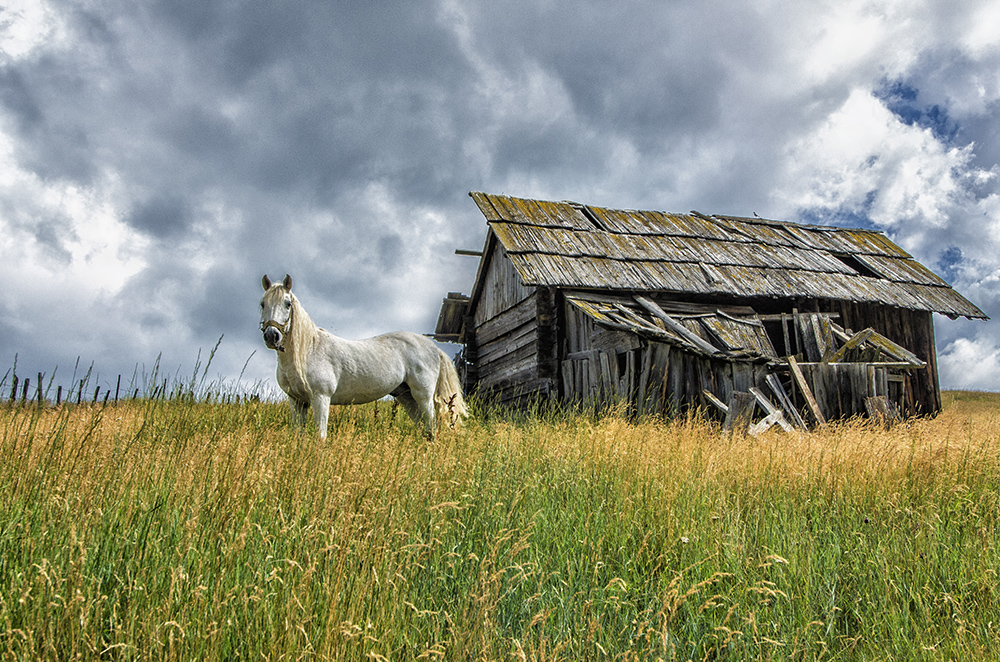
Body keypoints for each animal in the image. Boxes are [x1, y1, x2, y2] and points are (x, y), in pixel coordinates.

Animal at [264, 274, 470, 440]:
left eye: (287, 304)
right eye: (262, 304)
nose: (271, 336)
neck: (307, 351)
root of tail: (434, 348)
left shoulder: (321, 398)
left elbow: (320, 436)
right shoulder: (297, 401)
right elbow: (298, 435)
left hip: (423, 396)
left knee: (430, 428)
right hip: (407, 398)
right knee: (423, 429)